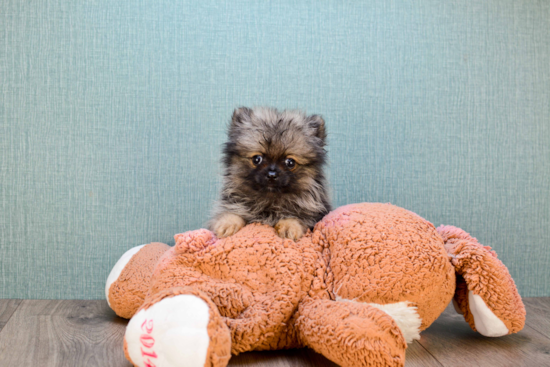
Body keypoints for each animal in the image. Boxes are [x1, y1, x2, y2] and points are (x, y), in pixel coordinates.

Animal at [209, 106, 332, 242]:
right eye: (257, 159)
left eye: (290, 162)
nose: (272, 174)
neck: (269, 200)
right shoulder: (234, 204)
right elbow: (232, 213)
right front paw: (227, 224)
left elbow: (296, 217)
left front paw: (289, 227)